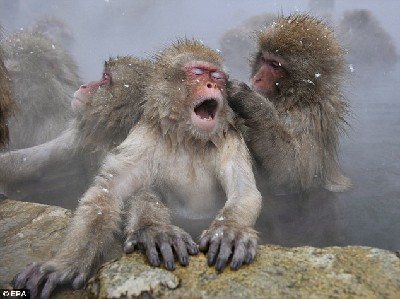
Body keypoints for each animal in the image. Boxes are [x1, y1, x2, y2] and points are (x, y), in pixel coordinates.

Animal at [13, 39, 262, 298]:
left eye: (217, 77)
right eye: (197, 73)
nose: (212, 84)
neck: (189, 138)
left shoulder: (230, 139)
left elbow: (244, 191)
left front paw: (229, 230)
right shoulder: (143, 135)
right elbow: (108, 191)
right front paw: (65, 264)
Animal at [227, 12, 352, 193]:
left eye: (275, 65)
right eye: (263, 59)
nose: (256, 78)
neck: (297, 97)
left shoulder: (309, 115)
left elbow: (294, 175)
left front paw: (254, 105)